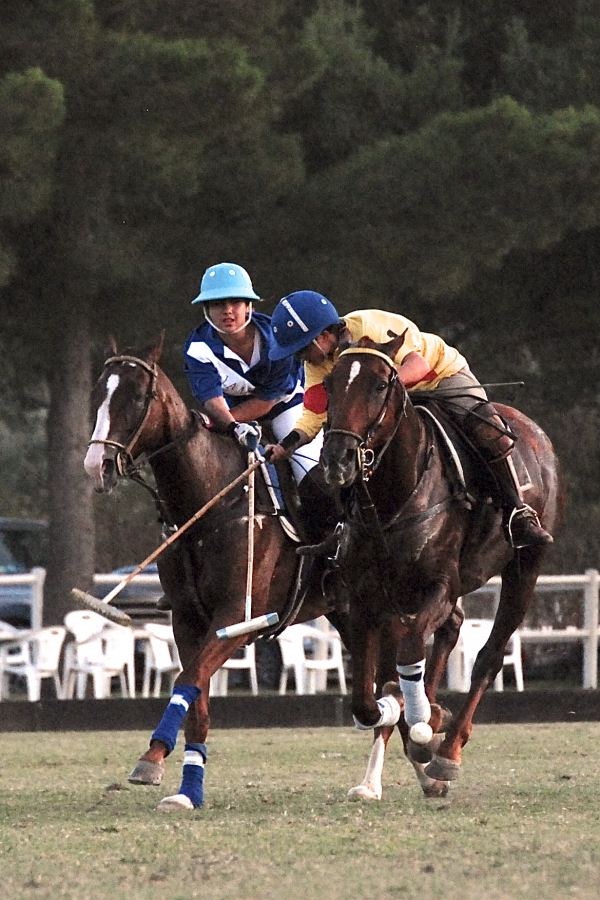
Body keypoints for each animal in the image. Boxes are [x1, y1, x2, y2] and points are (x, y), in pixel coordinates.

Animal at [82, 334, 350, 812]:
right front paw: (183, 784)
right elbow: (197, 700)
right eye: (99, 392)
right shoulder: (188, 619)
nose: (97, 465)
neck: (209, 504)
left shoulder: (237, 618)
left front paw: (150, 759)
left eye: (137, 396)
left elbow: (189, 679)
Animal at [318, 334, 564, 800]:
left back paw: (446, 750)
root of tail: (534, 430)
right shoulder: (366, 599)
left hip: (526, 565)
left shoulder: (438, 584)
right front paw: (406, 713)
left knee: (488, 654)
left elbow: (412, 650)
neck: (392, 498)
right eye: (330, 385)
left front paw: (424, 719)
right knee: (449, 630)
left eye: (380, 385)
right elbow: (365, 697)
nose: (337, 461)